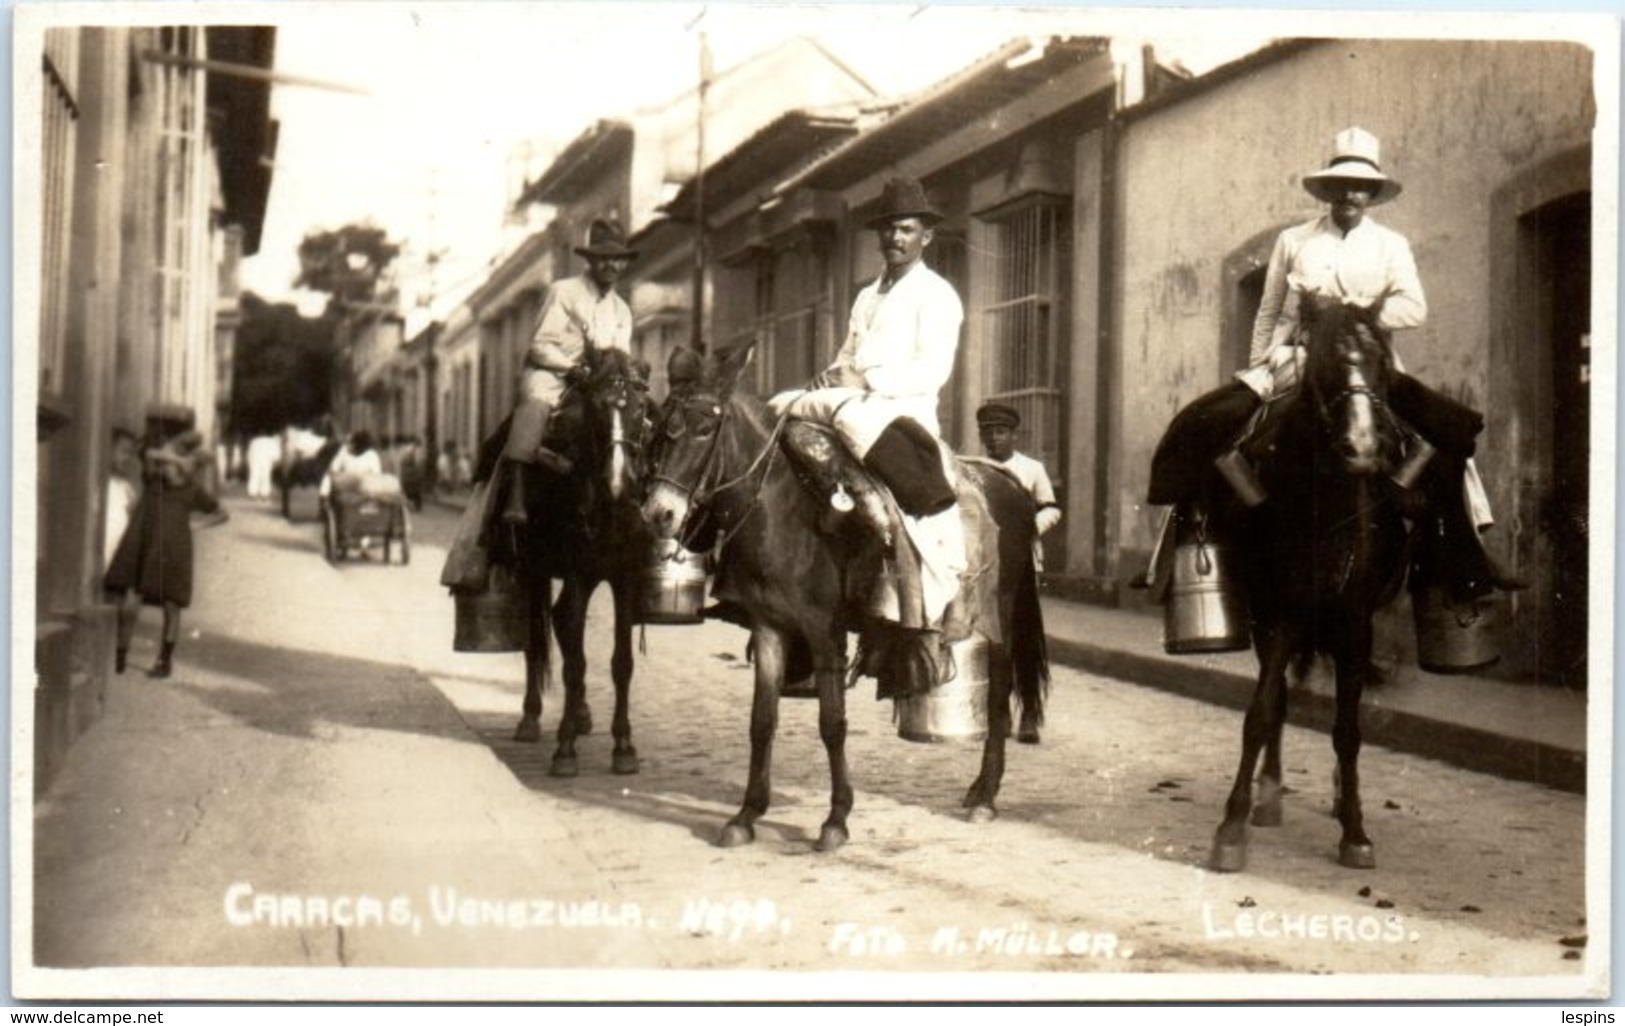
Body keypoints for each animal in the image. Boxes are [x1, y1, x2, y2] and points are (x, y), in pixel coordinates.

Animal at [487, 344, 653, 777]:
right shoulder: (577, 573)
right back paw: (531, 719)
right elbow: (574, 662)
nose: (619, 483)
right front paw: (564, 750)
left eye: (640, 409)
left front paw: (624, 746)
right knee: (539, 638)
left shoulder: (624, 578)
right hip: (534, 570)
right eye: (597, 409)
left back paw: (580, 715)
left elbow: (621, 662)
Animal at [640, 344, 1046, 852]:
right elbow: (762, 721)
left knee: (997, 702)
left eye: (704, 428)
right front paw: (747, 814)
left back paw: (986, 797)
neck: (781, 508)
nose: (659, 512)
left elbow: (832, 724)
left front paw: (836, 819)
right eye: (659, 425)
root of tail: (1009, 484)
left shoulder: (822, 631)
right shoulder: (770, 626)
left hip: (1000, 620)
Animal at [1215, 297, 1417, 878]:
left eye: (1381, 363)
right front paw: (1232, 825)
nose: (1363, 447)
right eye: (1322, 363)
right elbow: (1262, 713)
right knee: (1279, 701)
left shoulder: (1355, 623)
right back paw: (1268, 795)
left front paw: (1356, 830)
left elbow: (1348, 729)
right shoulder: (1277, 615)